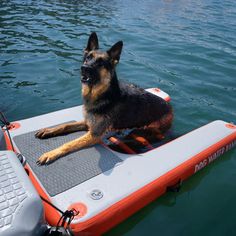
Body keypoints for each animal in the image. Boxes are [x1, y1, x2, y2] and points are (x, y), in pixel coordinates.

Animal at [36, 32, 172, 165]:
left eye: (101, 63)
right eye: (88, 57)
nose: (84, 68)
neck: (102, 95)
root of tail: (169, 107)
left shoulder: (94, 135)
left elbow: (69, 143)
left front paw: (51, 154)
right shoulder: (88, 123)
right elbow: (65, 126)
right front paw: (48, 130)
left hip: (142, 130)